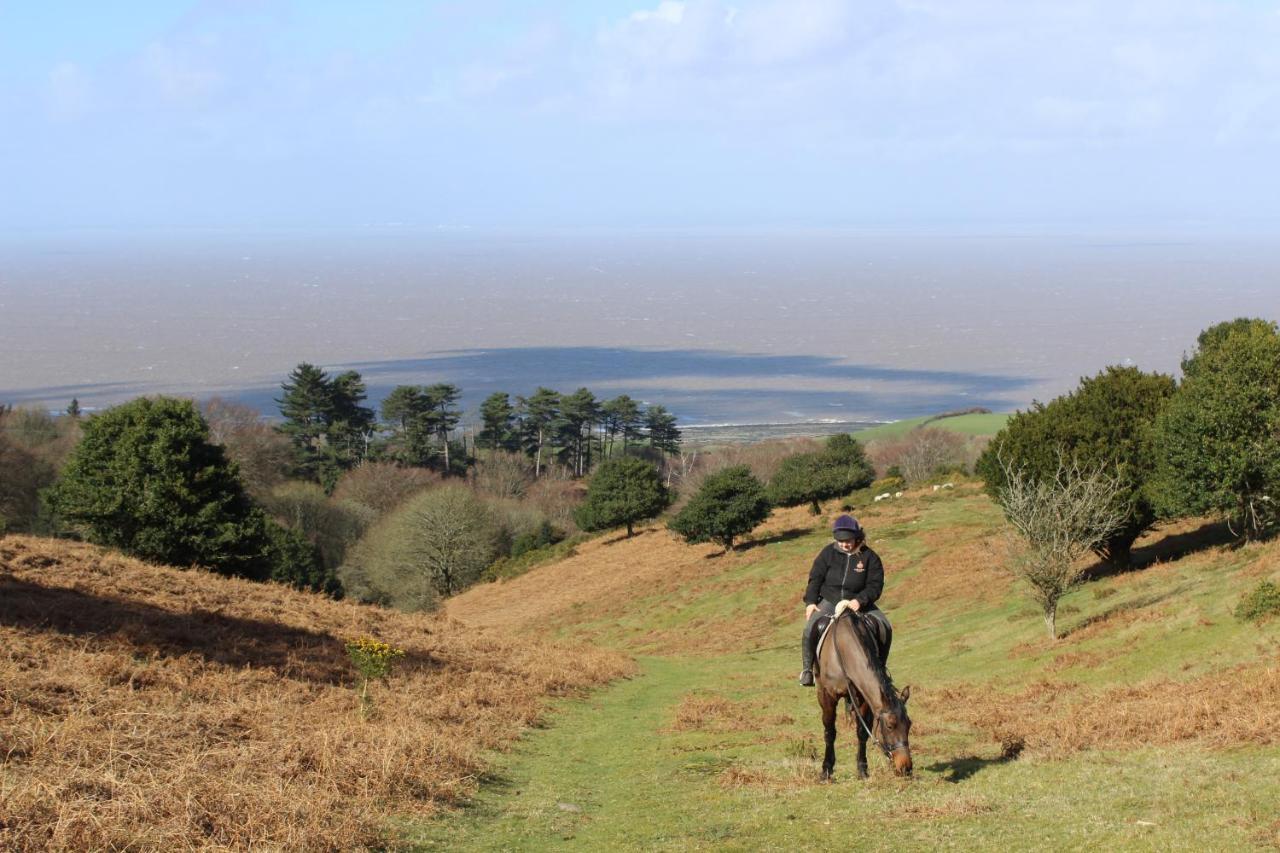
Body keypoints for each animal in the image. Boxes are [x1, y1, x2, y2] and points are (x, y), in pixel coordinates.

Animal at [808, 604, 911, 778]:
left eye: (909, 725)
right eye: (890, 726)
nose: (905, 767)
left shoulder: (861, 696)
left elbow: (862, 732)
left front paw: (862, 769)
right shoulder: (827, 696)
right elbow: (830, 732)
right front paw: (826, 769)